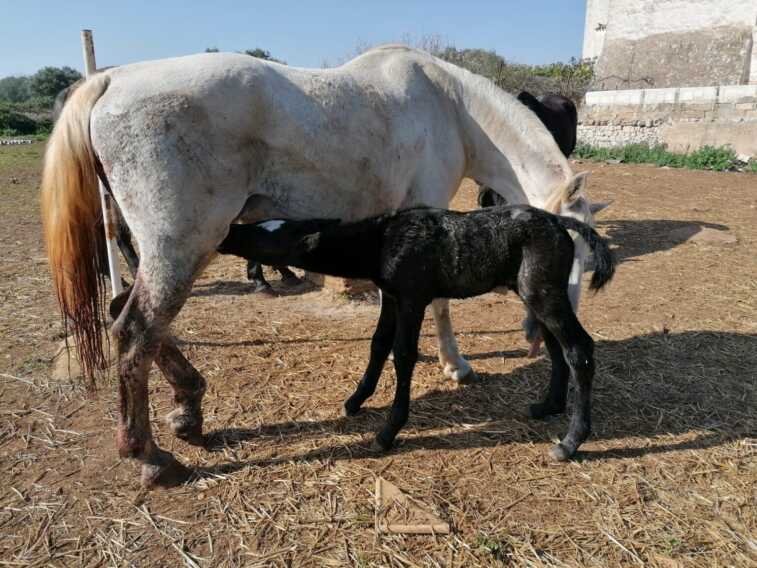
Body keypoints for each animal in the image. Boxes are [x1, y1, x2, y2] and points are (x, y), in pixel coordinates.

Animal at [41, 45, 598, 488]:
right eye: (575, 260)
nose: (547, 328)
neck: (451, 107)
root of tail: (111, 80)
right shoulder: (432, 214)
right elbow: (439, 306)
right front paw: (454, 364)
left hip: (154, 250)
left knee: (128, 315)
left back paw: (188, 409)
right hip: (181, 248)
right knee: (136, 332)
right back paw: (153, 458)